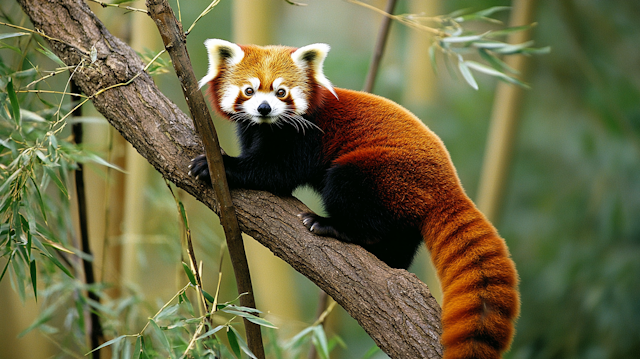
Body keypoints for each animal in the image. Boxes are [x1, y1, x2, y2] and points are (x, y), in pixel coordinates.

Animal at [191, 39, 520, 359]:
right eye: (249, 90)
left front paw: (220, 166)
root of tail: (450, 186)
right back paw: (387, 257)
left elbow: (275, 172)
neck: (267, 127)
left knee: (348, 189)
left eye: (281, 92)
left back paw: (333, 227)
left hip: (381, 172)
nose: (263, 109)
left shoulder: (307, 134)